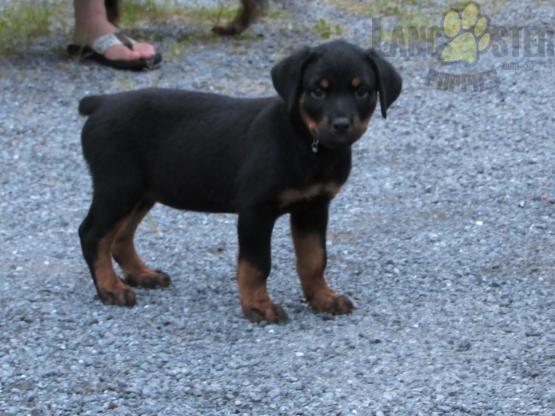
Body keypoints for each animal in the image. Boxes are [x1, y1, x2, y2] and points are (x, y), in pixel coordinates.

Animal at [78, 39, 402, 324]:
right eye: (316, 92)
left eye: (362, 91)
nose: (341, 125)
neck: (306, 144)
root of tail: (101, 102)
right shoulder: (255, 211)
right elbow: (256, 265)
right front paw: (259, 307)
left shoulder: (313, 208)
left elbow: (314, 259)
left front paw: (323, 298)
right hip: (118, 186)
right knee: (92, 234)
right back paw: (111, 289)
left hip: (143, 190)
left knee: (120, 236)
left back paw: (141, 275)